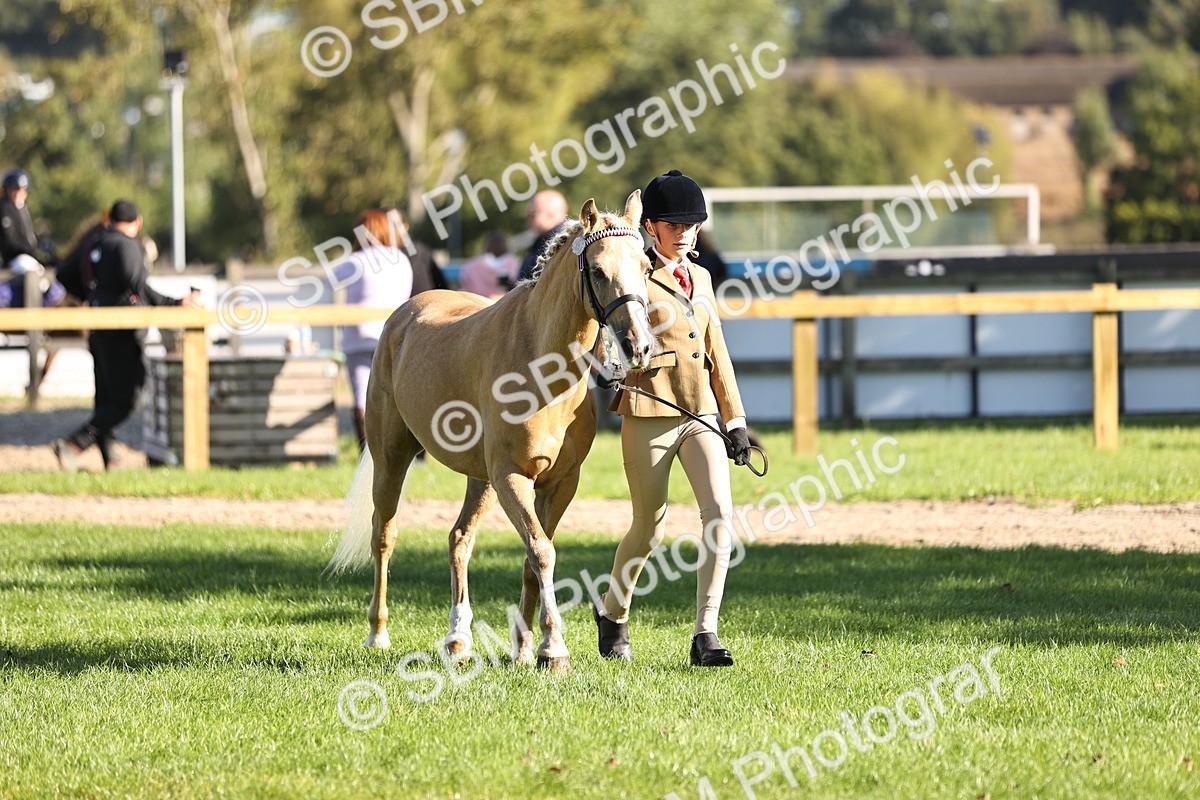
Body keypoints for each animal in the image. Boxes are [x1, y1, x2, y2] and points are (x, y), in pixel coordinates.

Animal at [328, 191, 657, 671]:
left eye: (647, 267)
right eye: (597, 270)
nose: (638, 345)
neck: (542, 366)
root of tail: (404, 314)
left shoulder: (560, 482)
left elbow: (532, 556)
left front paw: (524, 649)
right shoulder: (510, 477)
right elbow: (542, 552)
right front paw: (553, 648)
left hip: (478, 479)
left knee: (459, 539)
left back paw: (457, 639)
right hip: (393, 459)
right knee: (384, 536)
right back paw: (379, 634)